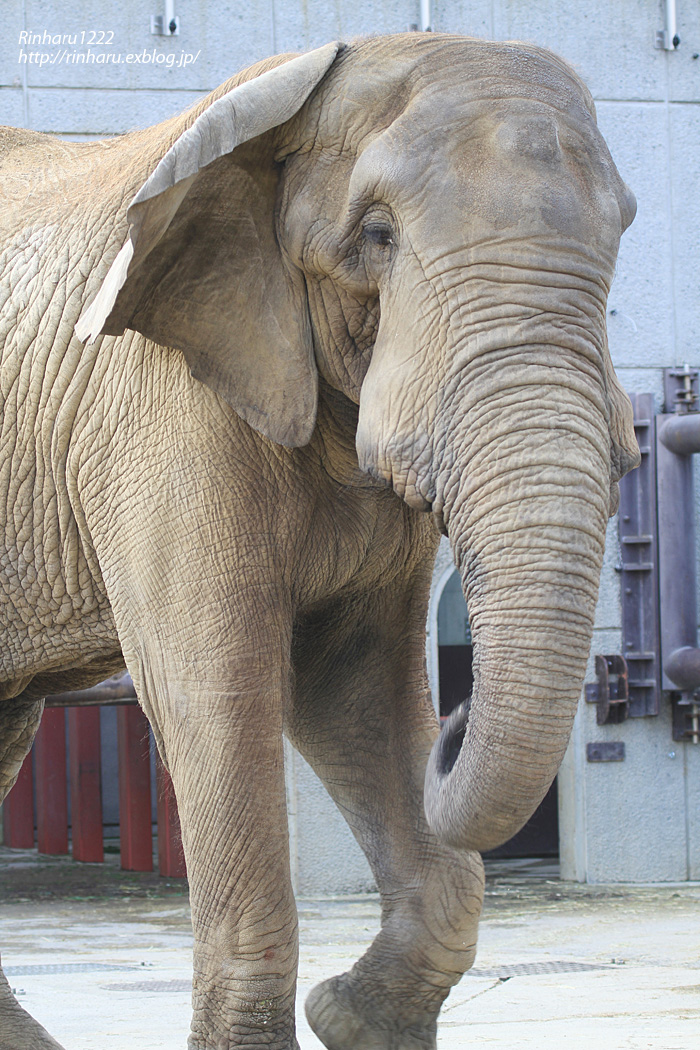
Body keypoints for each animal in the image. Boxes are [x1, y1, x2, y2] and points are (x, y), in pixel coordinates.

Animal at [0, 32, 642, 1050]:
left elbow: (354, 680)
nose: (456, 717)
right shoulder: (159, 406)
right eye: (376, 236)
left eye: (623, 231)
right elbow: (214, 687)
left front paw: (347, 1017)